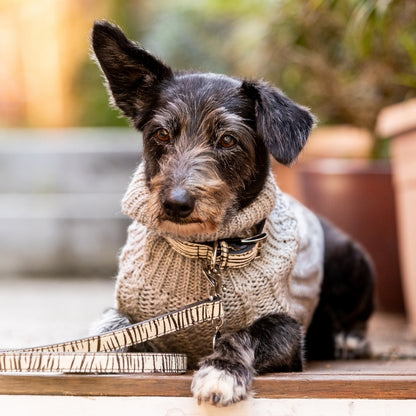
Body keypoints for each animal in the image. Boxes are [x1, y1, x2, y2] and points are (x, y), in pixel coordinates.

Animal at [90, 20, 374, 406]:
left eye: (227, 140)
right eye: (161, 134)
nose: (176, 203)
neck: (206, 251)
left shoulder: (286, 328)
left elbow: (239, 335)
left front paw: (220, 372)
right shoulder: (132, 312)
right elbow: (110, 328)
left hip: (351, 257)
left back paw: (350, 339)